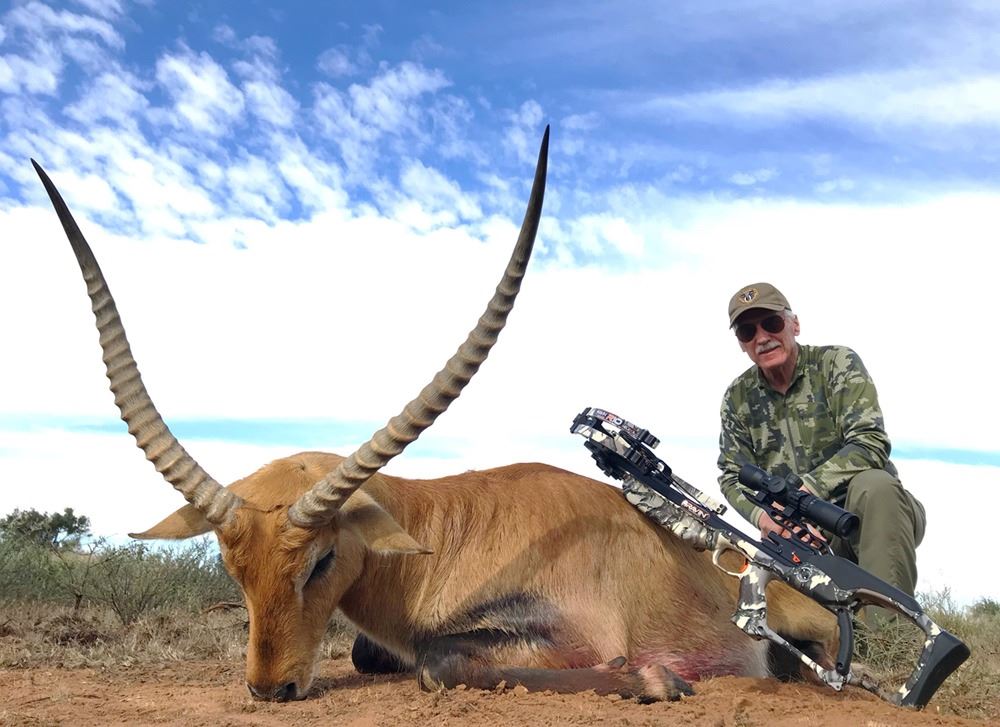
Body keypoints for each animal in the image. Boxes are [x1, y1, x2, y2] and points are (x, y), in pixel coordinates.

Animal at [32, 129, 837, 703]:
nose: (270, 687)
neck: (446, 524)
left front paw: (656, 678)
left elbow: (439, 660)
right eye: (233, 566)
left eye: (321, 560)